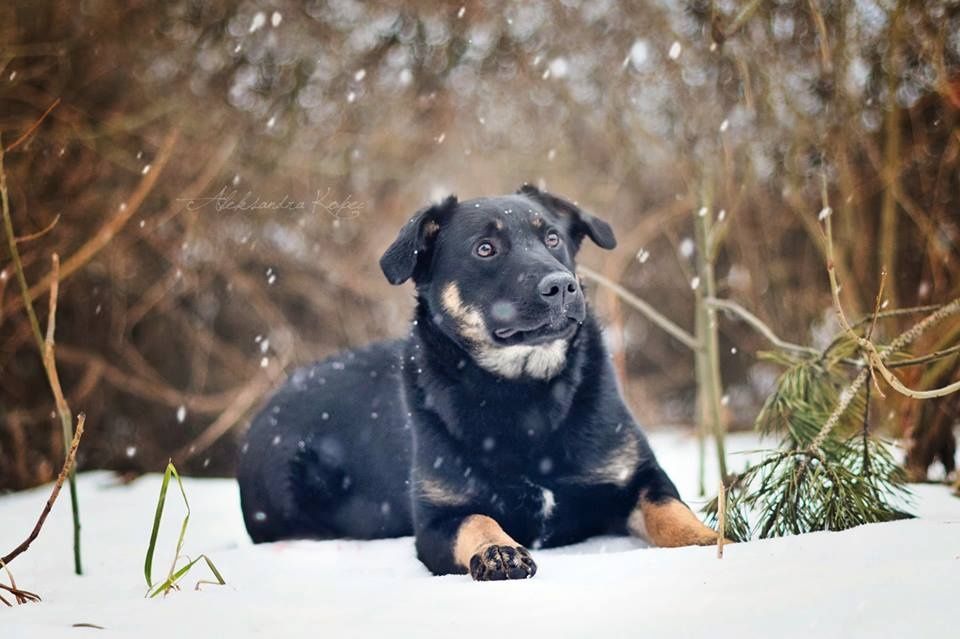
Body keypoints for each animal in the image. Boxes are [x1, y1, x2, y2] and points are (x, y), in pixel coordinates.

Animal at [238, 184, 720, 580]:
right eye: (485, 249)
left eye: (552, 238)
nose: (562, 286)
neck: (525, 394)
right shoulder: (436, 522)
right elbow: (477, 519)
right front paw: (498, 551)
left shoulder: (639, 477)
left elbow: (669, 509)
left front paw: (707, 540)